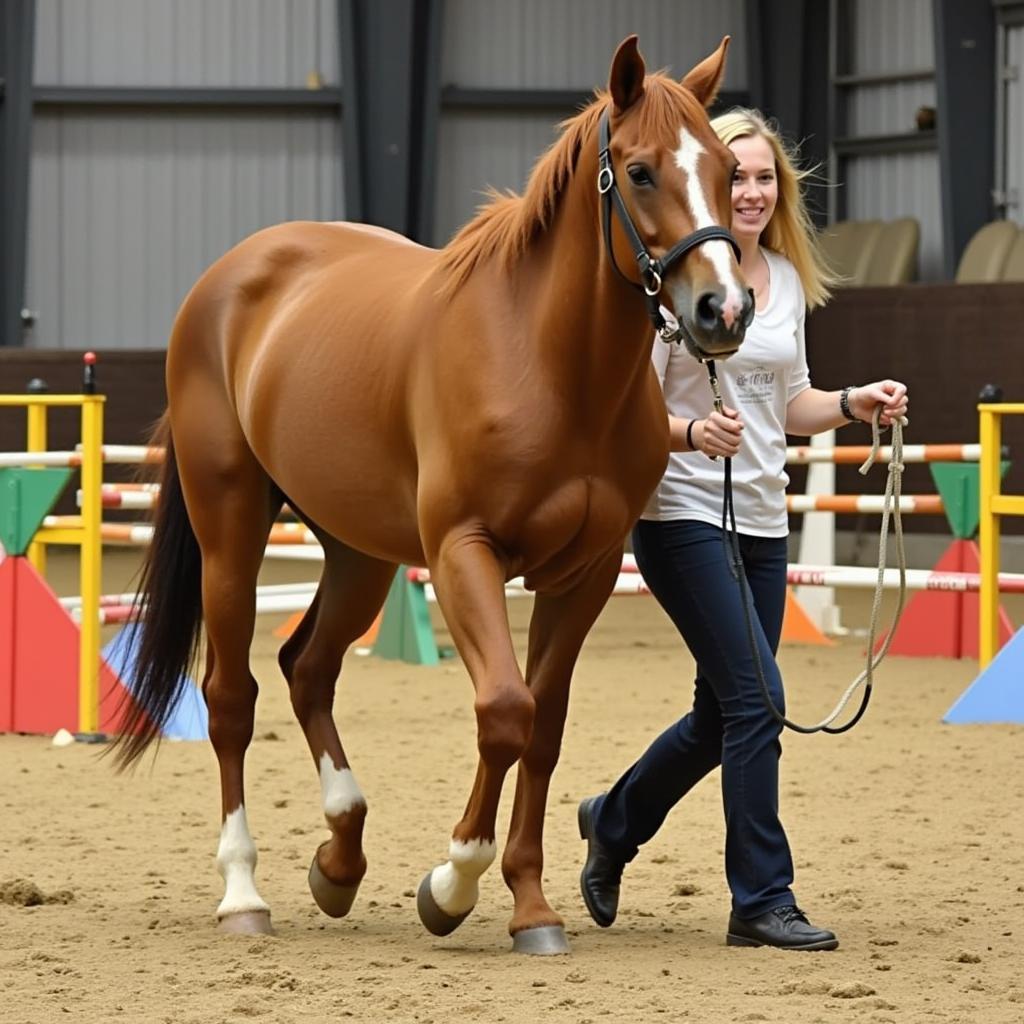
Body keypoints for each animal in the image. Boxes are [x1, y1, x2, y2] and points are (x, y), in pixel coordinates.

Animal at [116, 36, 753, 954]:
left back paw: (339, 861)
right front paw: (451, 886)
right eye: (638, 171)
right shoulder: (462, 553)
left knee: (307, 668)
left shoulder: (587, 572)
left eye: (729, 169)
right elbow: (505, 709)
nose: (723, 311)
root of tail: (231, 276)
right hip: (230, 531)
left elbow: (544, 727)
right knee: (232, 697)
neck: (552, 367)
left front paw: (532, 908)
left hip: (359, 553)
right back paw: (244, 894)